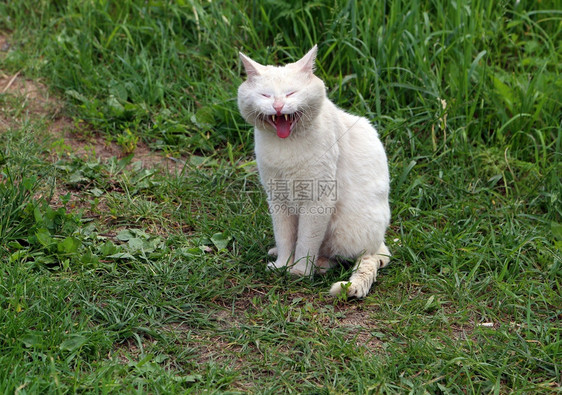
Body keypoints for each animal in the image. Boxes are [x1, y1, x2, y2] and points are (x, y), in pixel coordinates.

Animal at [236, 44, 390, 298]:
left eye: (291, 93)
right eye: (266, 95)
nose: (278, 106)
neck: (286, 146)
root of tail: (380, 243)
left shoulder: (317, 200)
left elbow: (306, 242)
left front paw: (299, 271)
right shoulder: (278, 198)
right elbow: (285, 237)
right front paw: (282, 264)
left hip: (347, 230)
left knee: (348, 257)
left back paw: (319, 266)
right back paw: (276, 253)